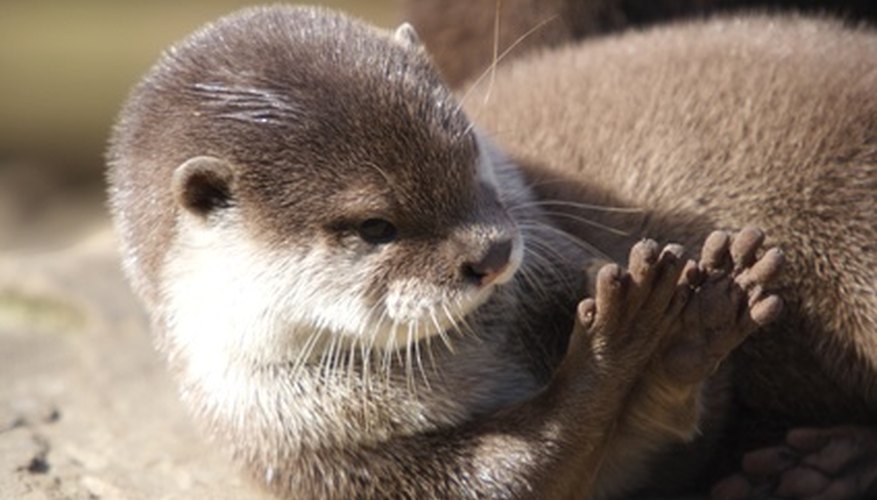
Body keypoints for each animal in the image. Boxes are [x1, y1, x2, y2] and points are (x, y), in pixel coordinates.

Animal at [108, 4, 780, 500]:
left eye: (468, 150)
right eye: (375, 226)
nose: (495, 251)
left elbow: (670, 430)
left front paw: (693, 324)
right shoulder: (306, 454)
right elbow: (527, 466)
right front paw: (621, 339)